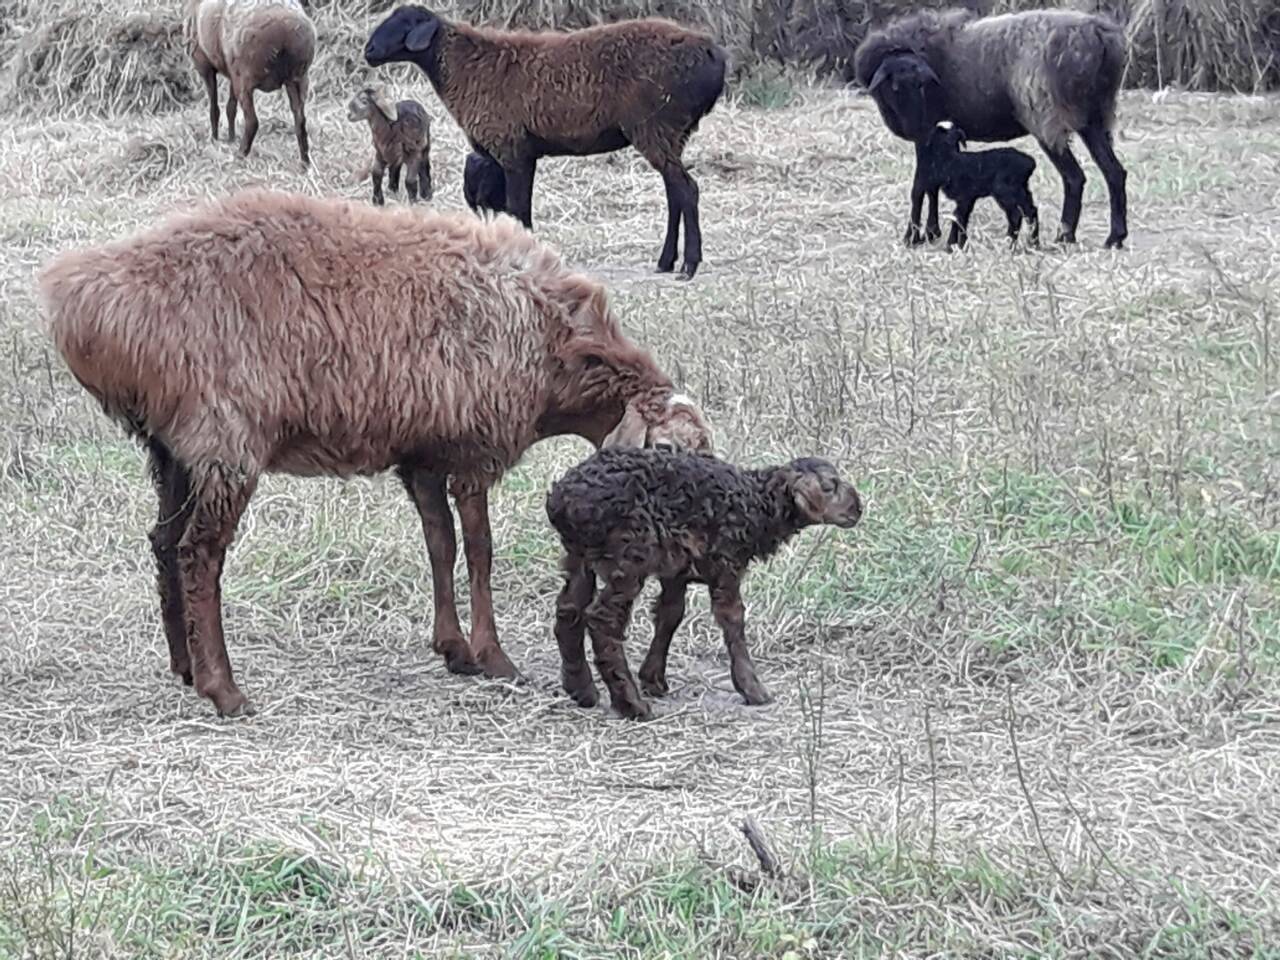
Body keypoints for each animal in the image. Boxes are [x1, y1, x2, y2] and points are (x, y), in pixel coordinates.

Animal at [40, 188, 716, 716]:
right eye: (666, 451)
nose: (689, 546)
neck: (557, 352)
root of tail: (84, 299)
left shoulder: (424, 456)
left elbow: (440, 545)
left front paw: (453, 649)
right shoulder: (476, 449)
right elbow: (480, 551)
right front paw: (494, 656)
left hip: (173, 447)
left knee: (162, 542)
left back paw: (184, 665)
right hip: (224, 439)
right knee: (198, 554)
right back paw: (223, 689)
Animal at [366, 6, 732, 277]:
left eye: (406, 23)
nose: (369, 51)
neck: (466, 66)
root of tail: (714, 54)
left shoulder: (512, 150)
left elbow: (517, 209)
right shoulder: (511, 155)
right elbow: (507, 209)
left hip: (657, 127)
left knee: (687, 190)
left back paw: (688, 265)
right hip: (671, 133)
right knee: (675, 193)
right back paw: (665, 262)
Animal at [921, 122, 1039, 252]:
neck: (951, 160)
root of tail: (1030, 163)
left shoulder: (965, 196)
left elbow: (959, 218)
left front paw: (957, 246)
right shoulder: (969, 198)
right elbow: (959, 217)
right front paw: (957, 245)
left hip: (1005, 191)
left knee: (1015, 215)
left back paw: (1009, 245)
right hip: (1021, 189)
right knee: (1030, 211)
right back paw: (1033, 244)